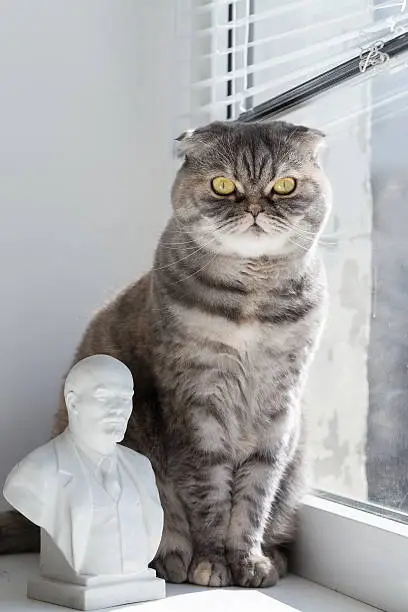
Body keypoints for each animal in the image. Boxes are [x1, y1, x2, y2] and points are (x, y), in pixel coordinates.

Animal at [0, 120, 330, 588]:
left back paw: (272, 560)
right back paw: (168, 560)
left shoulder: (278, 406)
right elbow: (209, 493)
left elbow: (255, 497)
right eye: (222, 184)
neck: (253, 299)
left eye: (284, 185)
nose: (253, 207)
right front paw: (212, 563)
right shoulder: (198, 402)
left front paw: (247, 562)